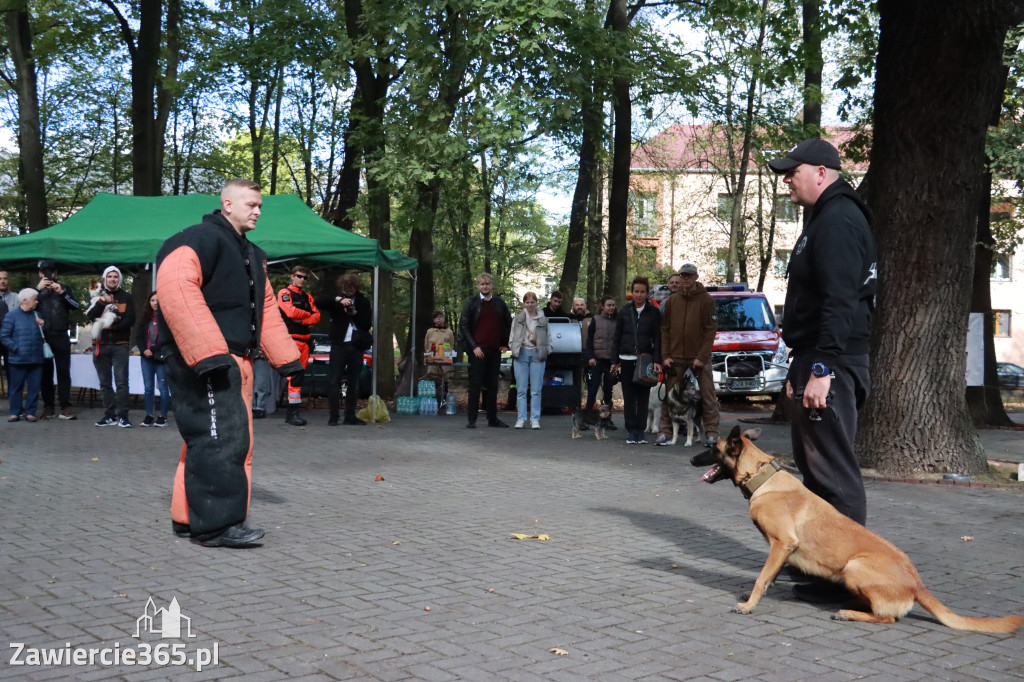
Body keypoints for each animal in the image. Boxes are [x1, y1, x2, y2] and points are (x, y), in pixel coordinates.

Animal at [688, 425, 1024, 630]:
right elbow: (769, 576)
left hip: (854, 566)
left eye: (712, 447)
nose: (690, 459)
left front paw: (748, 605)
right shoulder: (783, 549)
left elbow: (762, 577)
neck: (763, 479)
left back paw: (849, 612)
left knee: (887, 619)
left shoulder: (782, 543)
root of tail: (917, 585)